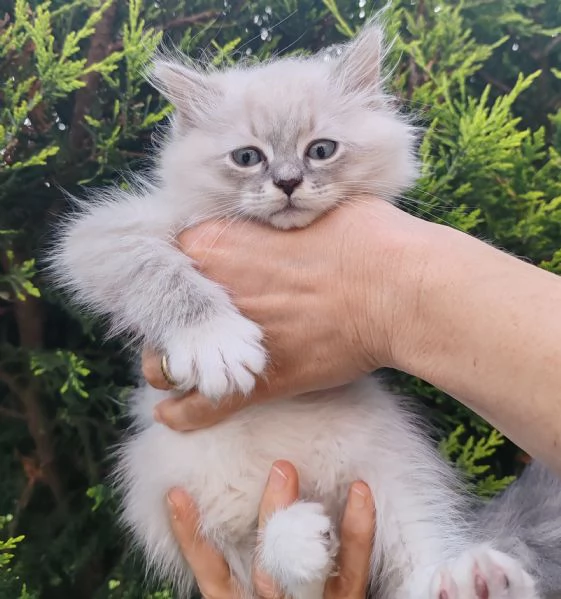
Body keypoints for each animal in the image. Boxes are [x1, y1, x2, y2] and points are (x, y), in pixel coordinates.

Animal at [49, 23, 560, 599]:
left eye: (320, 150)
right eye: (247, 158)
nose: (288, 182)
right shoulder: (106, 235)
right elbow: (161, 275)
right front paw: (214, 341)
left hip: (395, 476)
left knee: (413, 566)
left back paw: (470, 579)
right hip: (174, 490)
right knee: (272, 567)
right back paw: (298, 539)